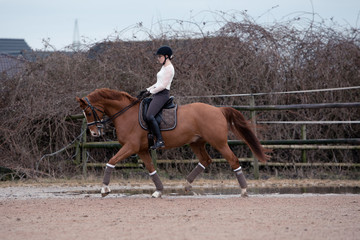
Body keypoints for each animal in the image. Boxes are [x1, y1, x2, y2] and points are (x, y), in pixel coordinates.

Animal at [76, 89, 270, 198]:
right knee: (205, 160)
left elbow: (111, 161)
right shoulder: (142, 150)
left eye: (89, 112)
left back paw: (244, 190)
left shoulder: (130, 147)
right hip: (196, 143)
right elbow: (151, 169)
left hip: (219, 142)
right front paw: (158, 191)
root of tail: (218, 110)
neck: (126, 113)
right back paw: (187, 185)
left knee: (233, 160)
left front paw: (104, 189)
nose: (94, 133)